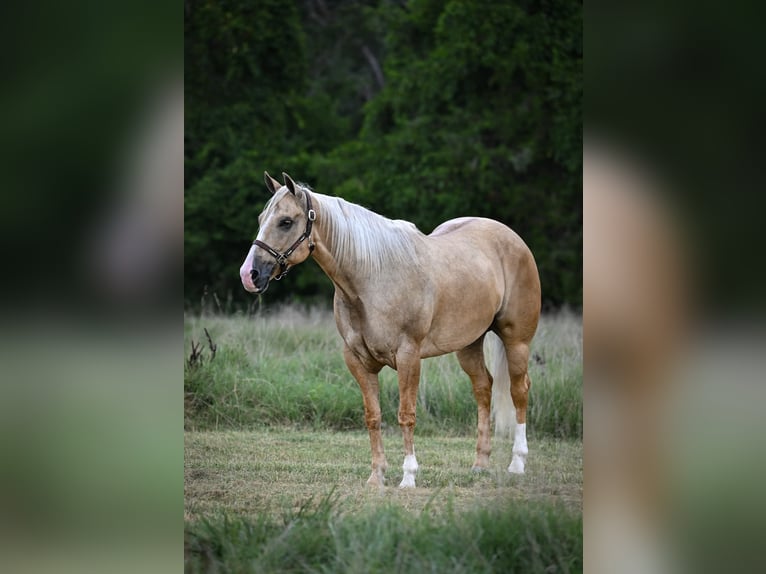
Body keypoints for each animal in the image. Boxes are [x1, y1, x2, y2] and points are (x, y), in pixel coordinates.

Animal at [240, 172, 541, 488]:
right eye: (261, 218)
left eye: (285, 221)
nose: (249, 275)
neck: (373, 279)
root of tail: (512, 238)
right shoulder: (357, 361)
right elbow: (373, 416)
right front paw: (377, 476)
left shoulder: (408, 357)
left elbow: (406, 415)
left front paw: (408, 476)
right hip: (469, 344)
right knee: (483, 387)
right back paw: (480, 464)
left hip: (517, 341)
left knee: (519, 390)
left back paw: (517, 463)